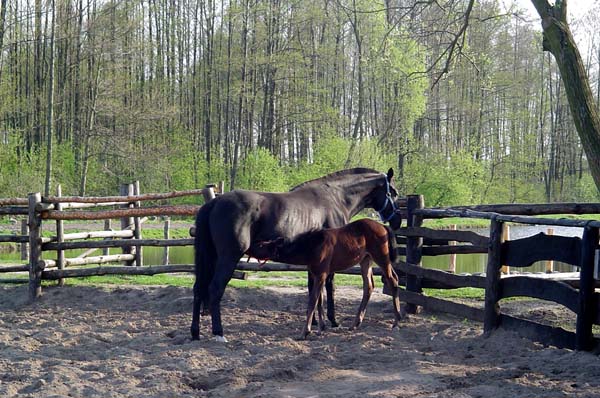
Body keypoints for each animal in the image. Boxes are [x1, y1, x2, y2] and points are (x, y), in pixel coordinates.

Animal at [190, 166, 400, 340]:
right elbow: (329, 288)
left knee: (199, 289)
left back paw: (195, 333)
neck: (335, 197)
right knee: (215, 289)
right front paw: (332, 321)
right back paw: (219, 333)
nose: (397, 220)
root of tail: (214, 203)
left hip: (210, 258)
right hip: (228, 258)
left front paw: (315, 323)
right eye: (394, 193)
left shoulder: (314, 263)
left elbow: (313, 291)